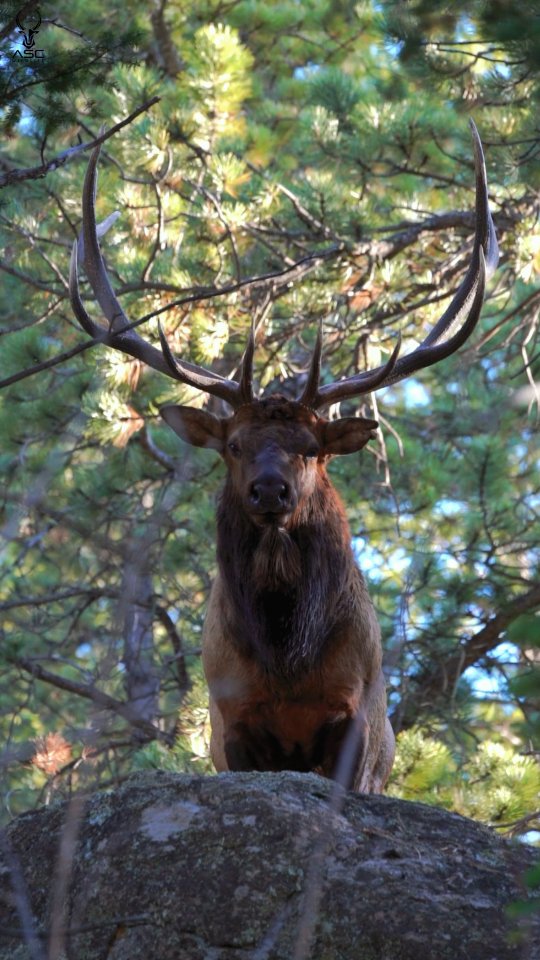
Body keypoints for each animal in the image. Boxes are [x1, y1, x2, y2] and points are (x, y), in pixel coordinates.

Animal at [69, 121, 498, 793]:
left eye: (313, 449)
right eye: (234, 446)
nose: (270, 490)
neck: (286, 663)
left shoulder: (354, 712)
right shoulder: (232, 715)